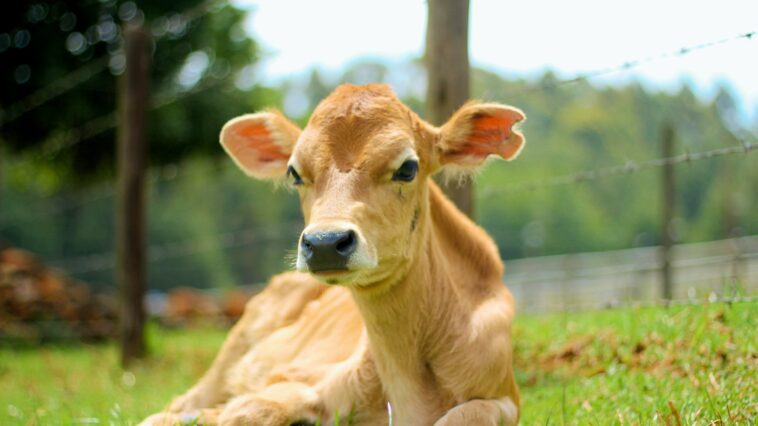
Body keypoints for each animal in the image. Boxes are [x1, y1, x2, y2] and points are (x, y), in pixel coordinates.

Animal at [141, 84, 525, 426]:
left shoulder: (504, 396)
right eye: (294, 172)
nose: (325, 242)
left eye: (407, 168)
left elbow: (469, 414)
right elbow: (249, 411)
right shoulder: (295, 378)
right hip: (228, 356)